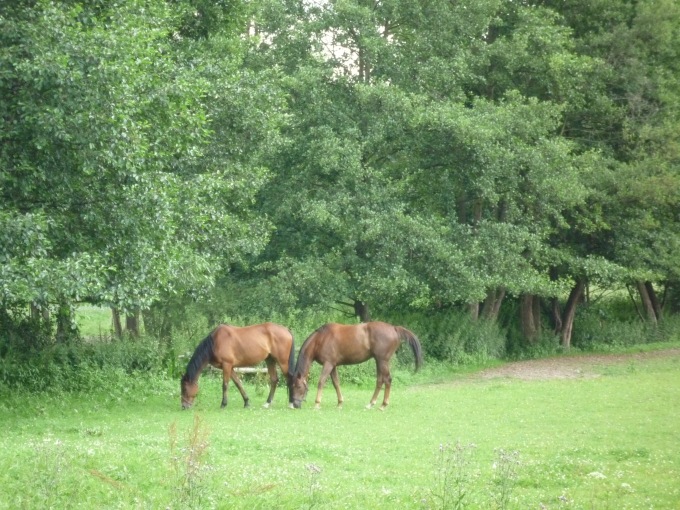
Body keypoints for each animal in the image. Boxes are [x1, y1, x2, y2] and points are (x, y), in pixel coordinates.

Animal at [290, 322, 422, 410]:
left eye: (298, 387)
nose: (295, 404)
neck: (320, 339)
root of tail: (394, 328)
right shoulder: (333, 365)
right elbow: (336, 383)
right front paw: (340, 403)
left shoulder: (328, 364)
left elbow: (321, 381)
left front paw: (317, 404)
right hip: (378, 361)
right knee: (380, 381)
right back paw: (371, 403)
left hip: (382, 361)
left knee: (387, 380)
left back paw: (383, 405)